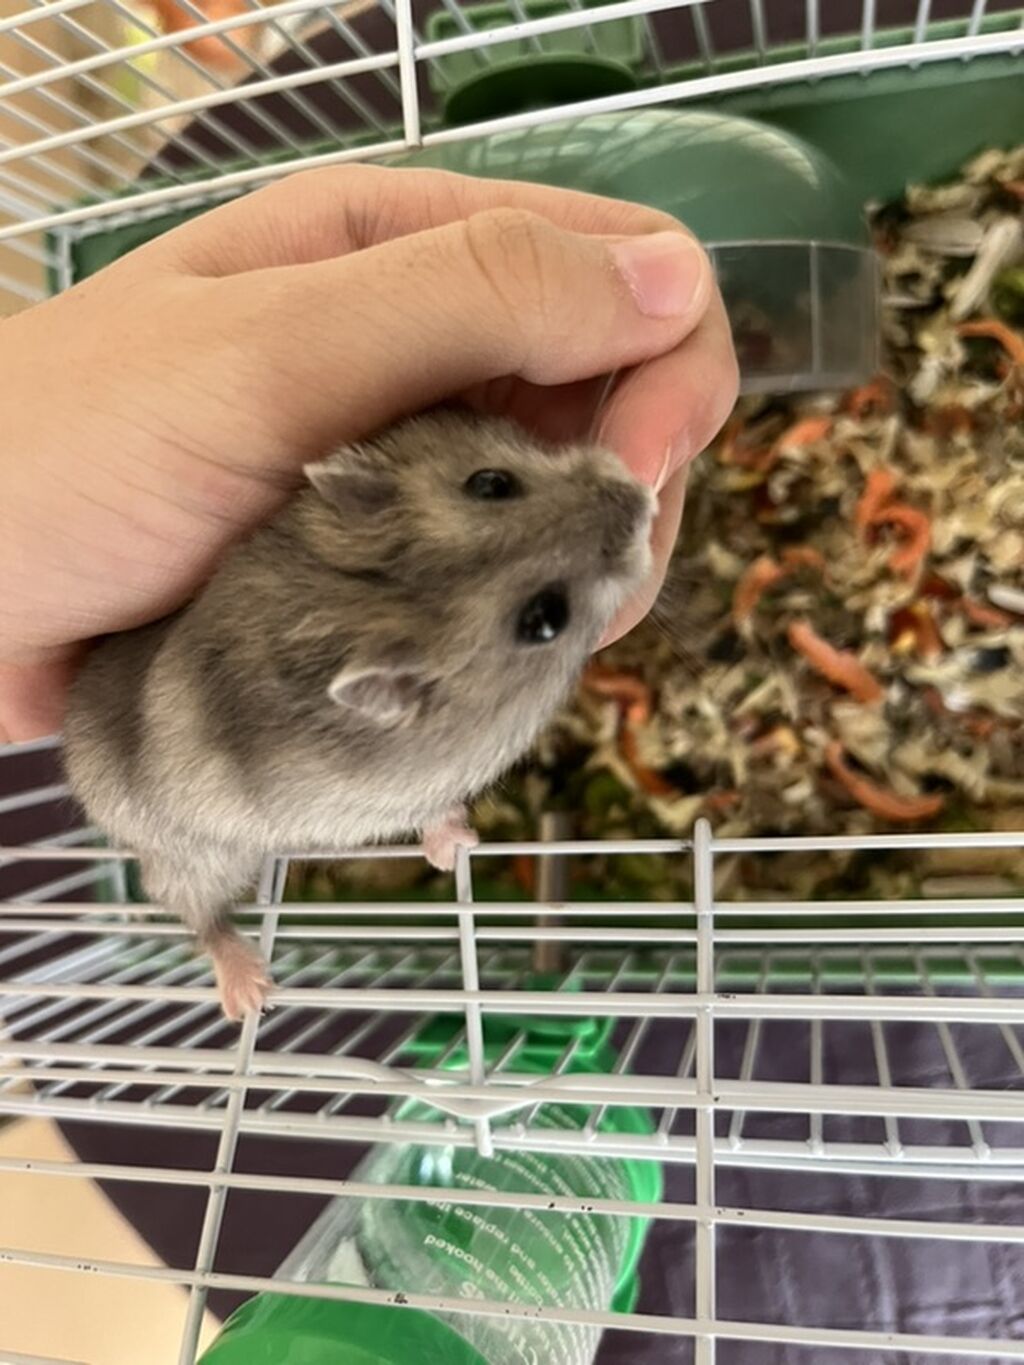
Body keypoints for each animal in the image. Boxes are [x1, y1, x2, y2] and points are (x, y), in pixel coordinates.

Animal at [63, 410, 655, 1020]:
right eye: (544, 620)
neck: (358, 604)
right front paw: (462, 845)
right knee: (194, 913)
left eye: (490, 482)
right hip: (189, 856)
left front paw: (458, 848)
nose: (641, 494)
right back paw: (250, 995)